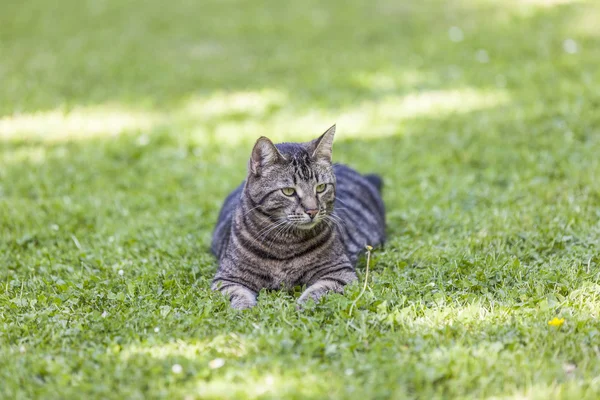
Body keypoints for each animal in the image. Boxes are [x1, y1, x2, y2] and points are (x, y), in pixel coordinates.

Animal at [211, 125, 386, 310]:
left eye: (321, 187)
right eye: (288, 191)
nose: (313, 210)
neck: (284, 243)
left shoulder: (339, 272)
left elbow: (317, 291)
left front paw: (302, 307)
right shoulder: (227, 278)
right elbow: (239, 296)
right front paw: (245, 310)